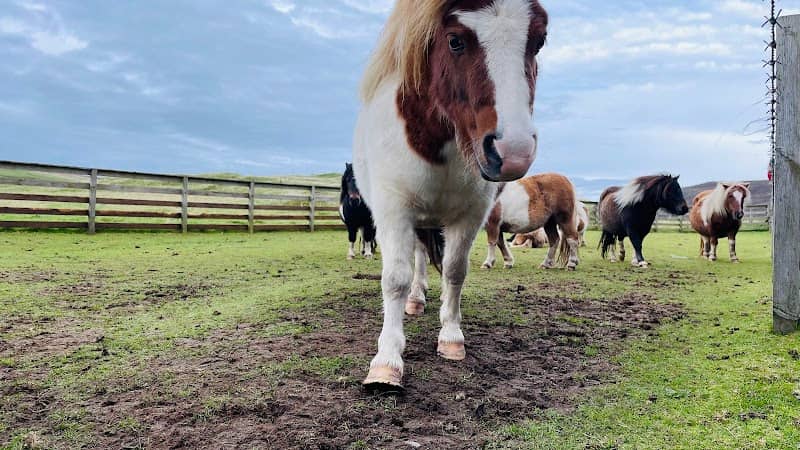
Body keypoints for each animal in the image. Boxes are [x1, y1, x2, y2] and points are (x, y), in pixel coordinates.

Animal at [353, 0, 548, 390]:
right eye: (455, 41)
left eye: (539, 41)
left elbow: (456, 271)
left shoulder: (471, 215)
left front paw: (451, 336)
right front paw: (387, 361)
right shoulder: (394, 211)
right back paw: (415, 300)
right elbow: (395, 279)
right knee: (415, 262)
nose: (512, 152)